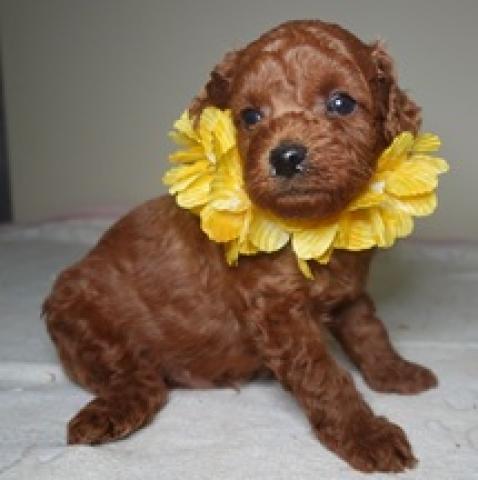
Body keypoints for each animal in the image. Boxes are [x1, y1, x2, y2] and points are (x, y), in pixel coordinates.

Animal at [43, 20, 438, 473]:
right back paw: (107, 414)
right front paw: (367, 434)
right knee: (139, 381)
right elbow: (324, 377)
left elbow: (369, 331)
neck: (313, 225)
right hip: (86, 322)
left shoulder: (349, 292)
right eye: (250, 116)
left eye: (341, 103)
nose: (286, 156)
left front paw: (396, 372)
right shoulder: (277, 309)